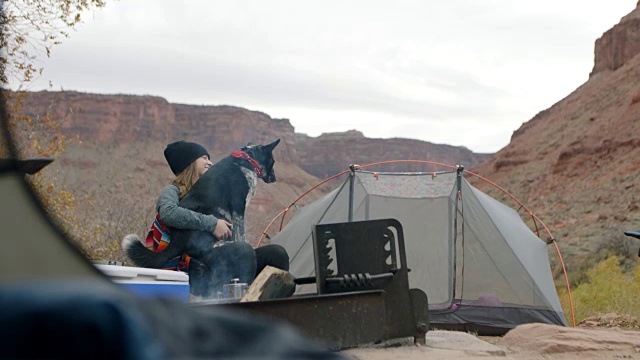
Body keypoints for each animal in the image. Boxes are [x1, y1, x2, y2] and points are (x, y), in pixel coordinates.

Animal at [122, 139, 280, 272]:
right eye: (273, 161)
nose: (275, 178)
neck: (247, 160)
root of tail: (177, 241)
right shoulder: (238, 208)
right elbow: (241, 234)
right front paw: (247, 245)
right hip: (217, 214)